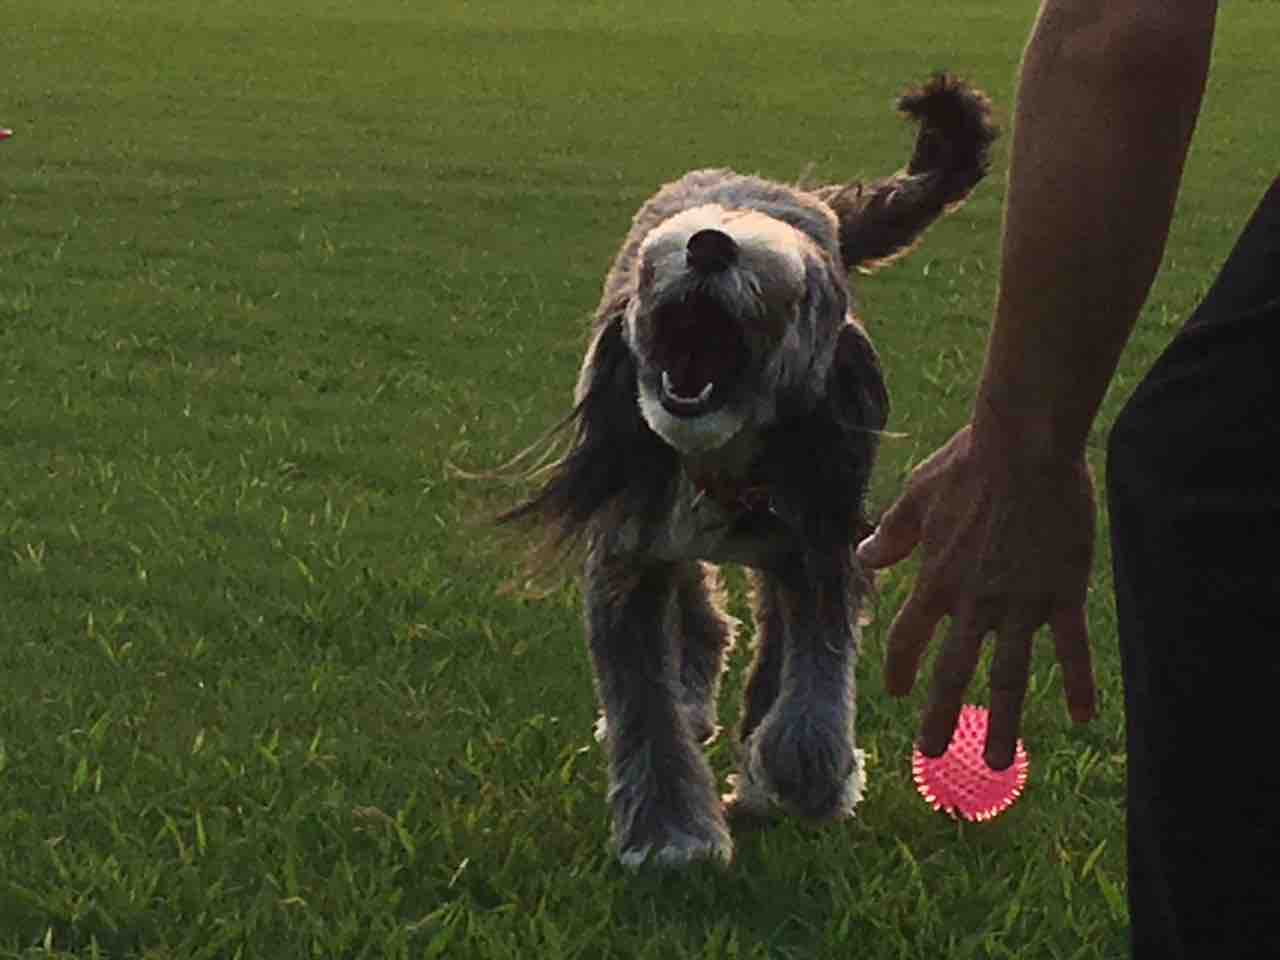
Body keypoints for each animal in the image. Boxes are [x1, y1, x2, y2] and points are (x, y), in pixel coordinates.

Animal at [503, 75, 996, 867]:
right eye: (655, 264)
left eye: (797, 287)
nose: (708, 246)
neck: (721, 461)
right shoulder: (628, 553)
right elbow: (643, 700)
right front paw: (671, 833)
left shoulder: (820, 540)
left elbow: (814, 671)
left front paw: (799, 775)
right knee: (702, 618)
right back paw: (696, 698)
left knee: (766, 634)